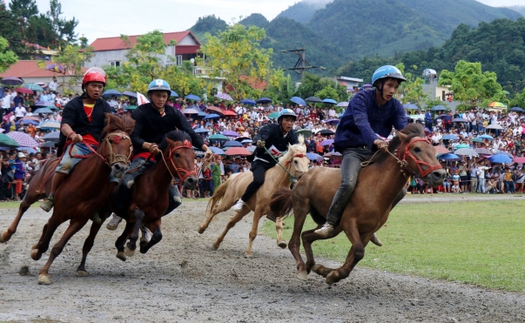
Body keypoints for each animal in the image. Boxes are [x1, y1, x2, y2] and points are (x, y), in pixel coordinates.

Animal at [26, 114, 135, 286]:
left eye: (129, 145)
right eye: (111, 141)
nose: (120, 167)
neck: (85, 185)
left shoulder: (79, 220)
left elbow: (59, 246)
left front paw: (44, 271)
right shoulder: (59, 214)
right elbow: (46, 241)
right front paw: (38, 259)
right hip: (33, 192)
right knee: (24, 207)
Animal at [109, 130, 198, 262]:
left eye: (194, 155)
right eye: (177, 154)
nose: (192, 180)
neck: (155, 186)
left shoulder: (154, 219)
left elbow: (158, 236)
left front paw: (143, 245)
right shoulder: (131, 209)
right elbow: (140, 214)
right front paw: (132, 244)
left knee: (122, 237)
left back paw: (122, 247)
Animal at [270, 124, 446, 286]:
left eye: (433, 149)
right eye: (417, 148)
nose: (440, 174)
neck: (376, 187)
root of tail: (304, 176)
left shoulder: (367, 231)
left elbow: (353, 256)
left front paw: (328, 272)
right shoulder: (349, 224)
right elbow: (358, 252)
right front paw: (331, 274)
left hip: (331, 227)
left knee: (307, 236)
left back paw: (310, 265)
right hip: (302, 208)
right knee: (294, 241)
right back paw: (301, 267)